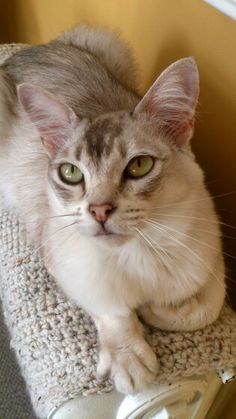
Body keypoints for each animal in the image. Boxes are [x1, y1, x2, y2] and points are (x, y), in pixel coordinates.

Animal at [0, 25, 225, 394]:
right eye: (71, 173)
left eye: (139, 166)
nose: (100, 211)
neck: (138, 250)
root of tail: (21, 53)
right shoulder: (66, 265)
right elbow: (112, 309)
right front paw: (128, 356)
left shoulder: (210, 255)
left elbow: (206, 308)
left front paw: (156, 309)